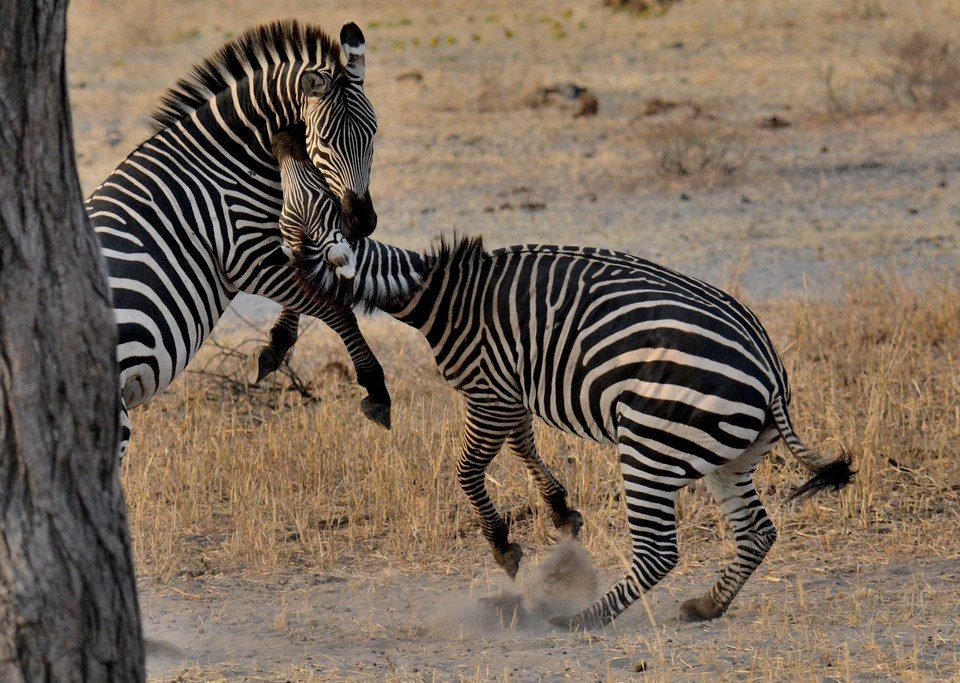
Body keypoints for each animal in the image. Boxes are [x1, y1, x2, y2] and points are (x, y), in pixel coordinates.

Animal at [85, 20, 391, 459]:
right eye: (325, 140)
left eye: (373, 134)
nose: (362, 221)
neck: (222, 164)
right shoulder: (244, 259)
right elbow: (335, 306)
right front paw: (375, 387)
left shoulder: (274, 244)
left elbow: (311, 283)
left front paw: (276, 345)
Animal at [255, 168, 854, 628]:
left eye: (292, 264)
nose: (271, 350)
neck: (438, 294)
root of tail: (770, 372)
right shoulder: (512, 391)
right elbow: (523, 446)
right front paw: (561, 512)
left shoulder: (489, 392)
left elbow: (467, 471)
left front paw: (504, 545)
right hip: (731, 456)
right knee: (757, 532)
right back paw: (707, 606)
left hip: (652, 442)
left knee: (660, 551)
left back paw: (584, 618)